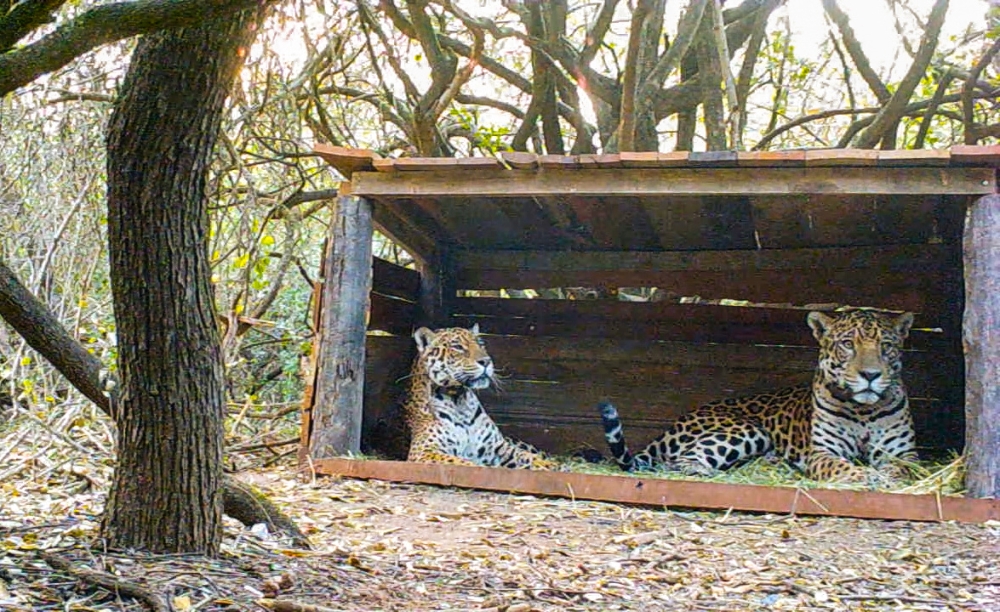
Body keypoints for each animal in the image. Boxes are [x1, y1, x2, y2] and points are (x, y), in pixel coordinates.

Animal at [403, 324, 559, 470]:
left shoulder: (500, 446)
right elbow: (464, 463)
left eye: (480, 344)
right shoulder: (424, 451)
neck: (459, 400)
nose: (486, 361)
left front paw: (549, 465)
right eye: (457, 347)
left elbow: (526, 456)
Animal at [599, 309, 918, 483]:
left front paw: (885, 476)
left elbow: (902, 468)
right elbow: (838, 465)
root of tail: (679, 420)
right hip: (744, 430)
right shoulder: (823, 452)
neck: (863, 410)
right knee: (679, 461)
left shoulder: (905, 453)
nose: (870, 375)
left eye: (886, 346)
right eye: (848, 344)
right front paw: (864, 476)